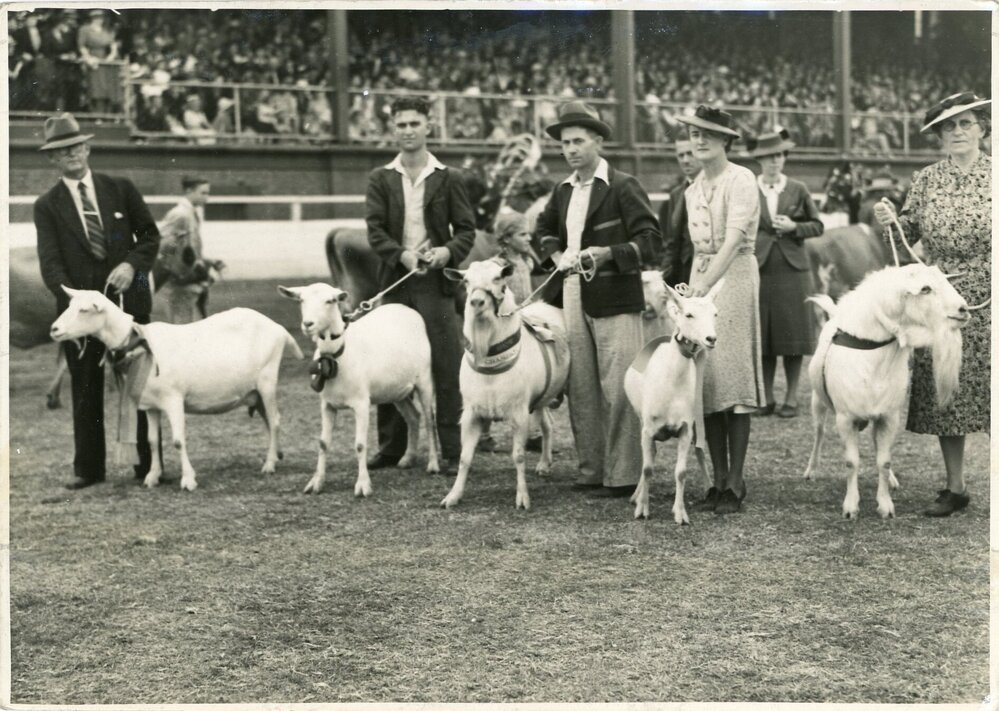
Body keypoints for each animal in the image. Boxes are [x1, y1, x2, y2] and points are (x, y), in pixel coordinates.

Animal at [50, 286, 304, 491]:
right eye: (69, 305)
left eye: (84, 310)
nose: (54, 329)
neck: (139, 344)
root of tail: (279, 329)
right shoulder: (150, 405)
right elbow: (152, 440)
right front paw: (152, 477)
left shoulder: (174, 399)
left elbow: (178, 440)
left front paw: (188, 480)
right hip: (253, 391)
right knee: (268, 420)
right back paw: (276, 455)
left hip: (267, 381)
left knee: (275, 420)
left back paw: (269, 464)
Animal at [278, 284, 440, 497]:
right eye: (301, 300)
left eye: (330, 301)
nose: (308, 324)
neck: (338, 353)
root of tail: (406, 309)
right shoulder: (327, 404)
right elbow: (323, 443)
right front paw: (316, 482)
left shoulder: (361, 403)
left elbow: (360, 445)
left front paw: (363, 485)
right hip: (396, 390)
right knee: (413, 416)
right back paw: (407, 459)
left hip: (425, 380)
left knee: (430, 420)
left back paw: (434, 464)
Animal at [440, 259, 569, 509]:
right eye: (466, 280)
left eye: (498, 278)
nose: (476, 302)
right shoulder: (472, 413)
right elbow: (464, 458)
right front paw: (453, 496)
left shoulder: (519, 413)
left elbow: (518, 455)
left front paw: (522, 498)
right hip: (542, 398)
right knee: (547, 424)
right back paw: (544, 464)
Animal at [624, 277, 722, 524]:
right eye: (688, 314)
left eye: (715, 314)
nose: (711, 339)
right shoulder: (648, 429)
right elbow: (647, 468)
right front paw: (642, 508)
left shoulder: (686, 428)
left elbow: (681, 472)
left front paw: (680, 513)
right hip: (641, 420)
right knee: (648, 458)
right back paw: (636, 495)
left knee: (699, 452)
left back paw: (709, 487)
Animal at [802, 263, 979, 518]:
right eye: (925, 289)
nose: (963, 309)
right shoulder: (845, 419)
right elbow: (851, 462)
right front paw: (850, 507)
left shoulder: (889, 417)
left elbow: (884, 461)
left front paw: (885, 506)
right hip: (818, 401)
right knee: (819, 433)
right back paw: (811, 470)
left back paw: (893, 480)